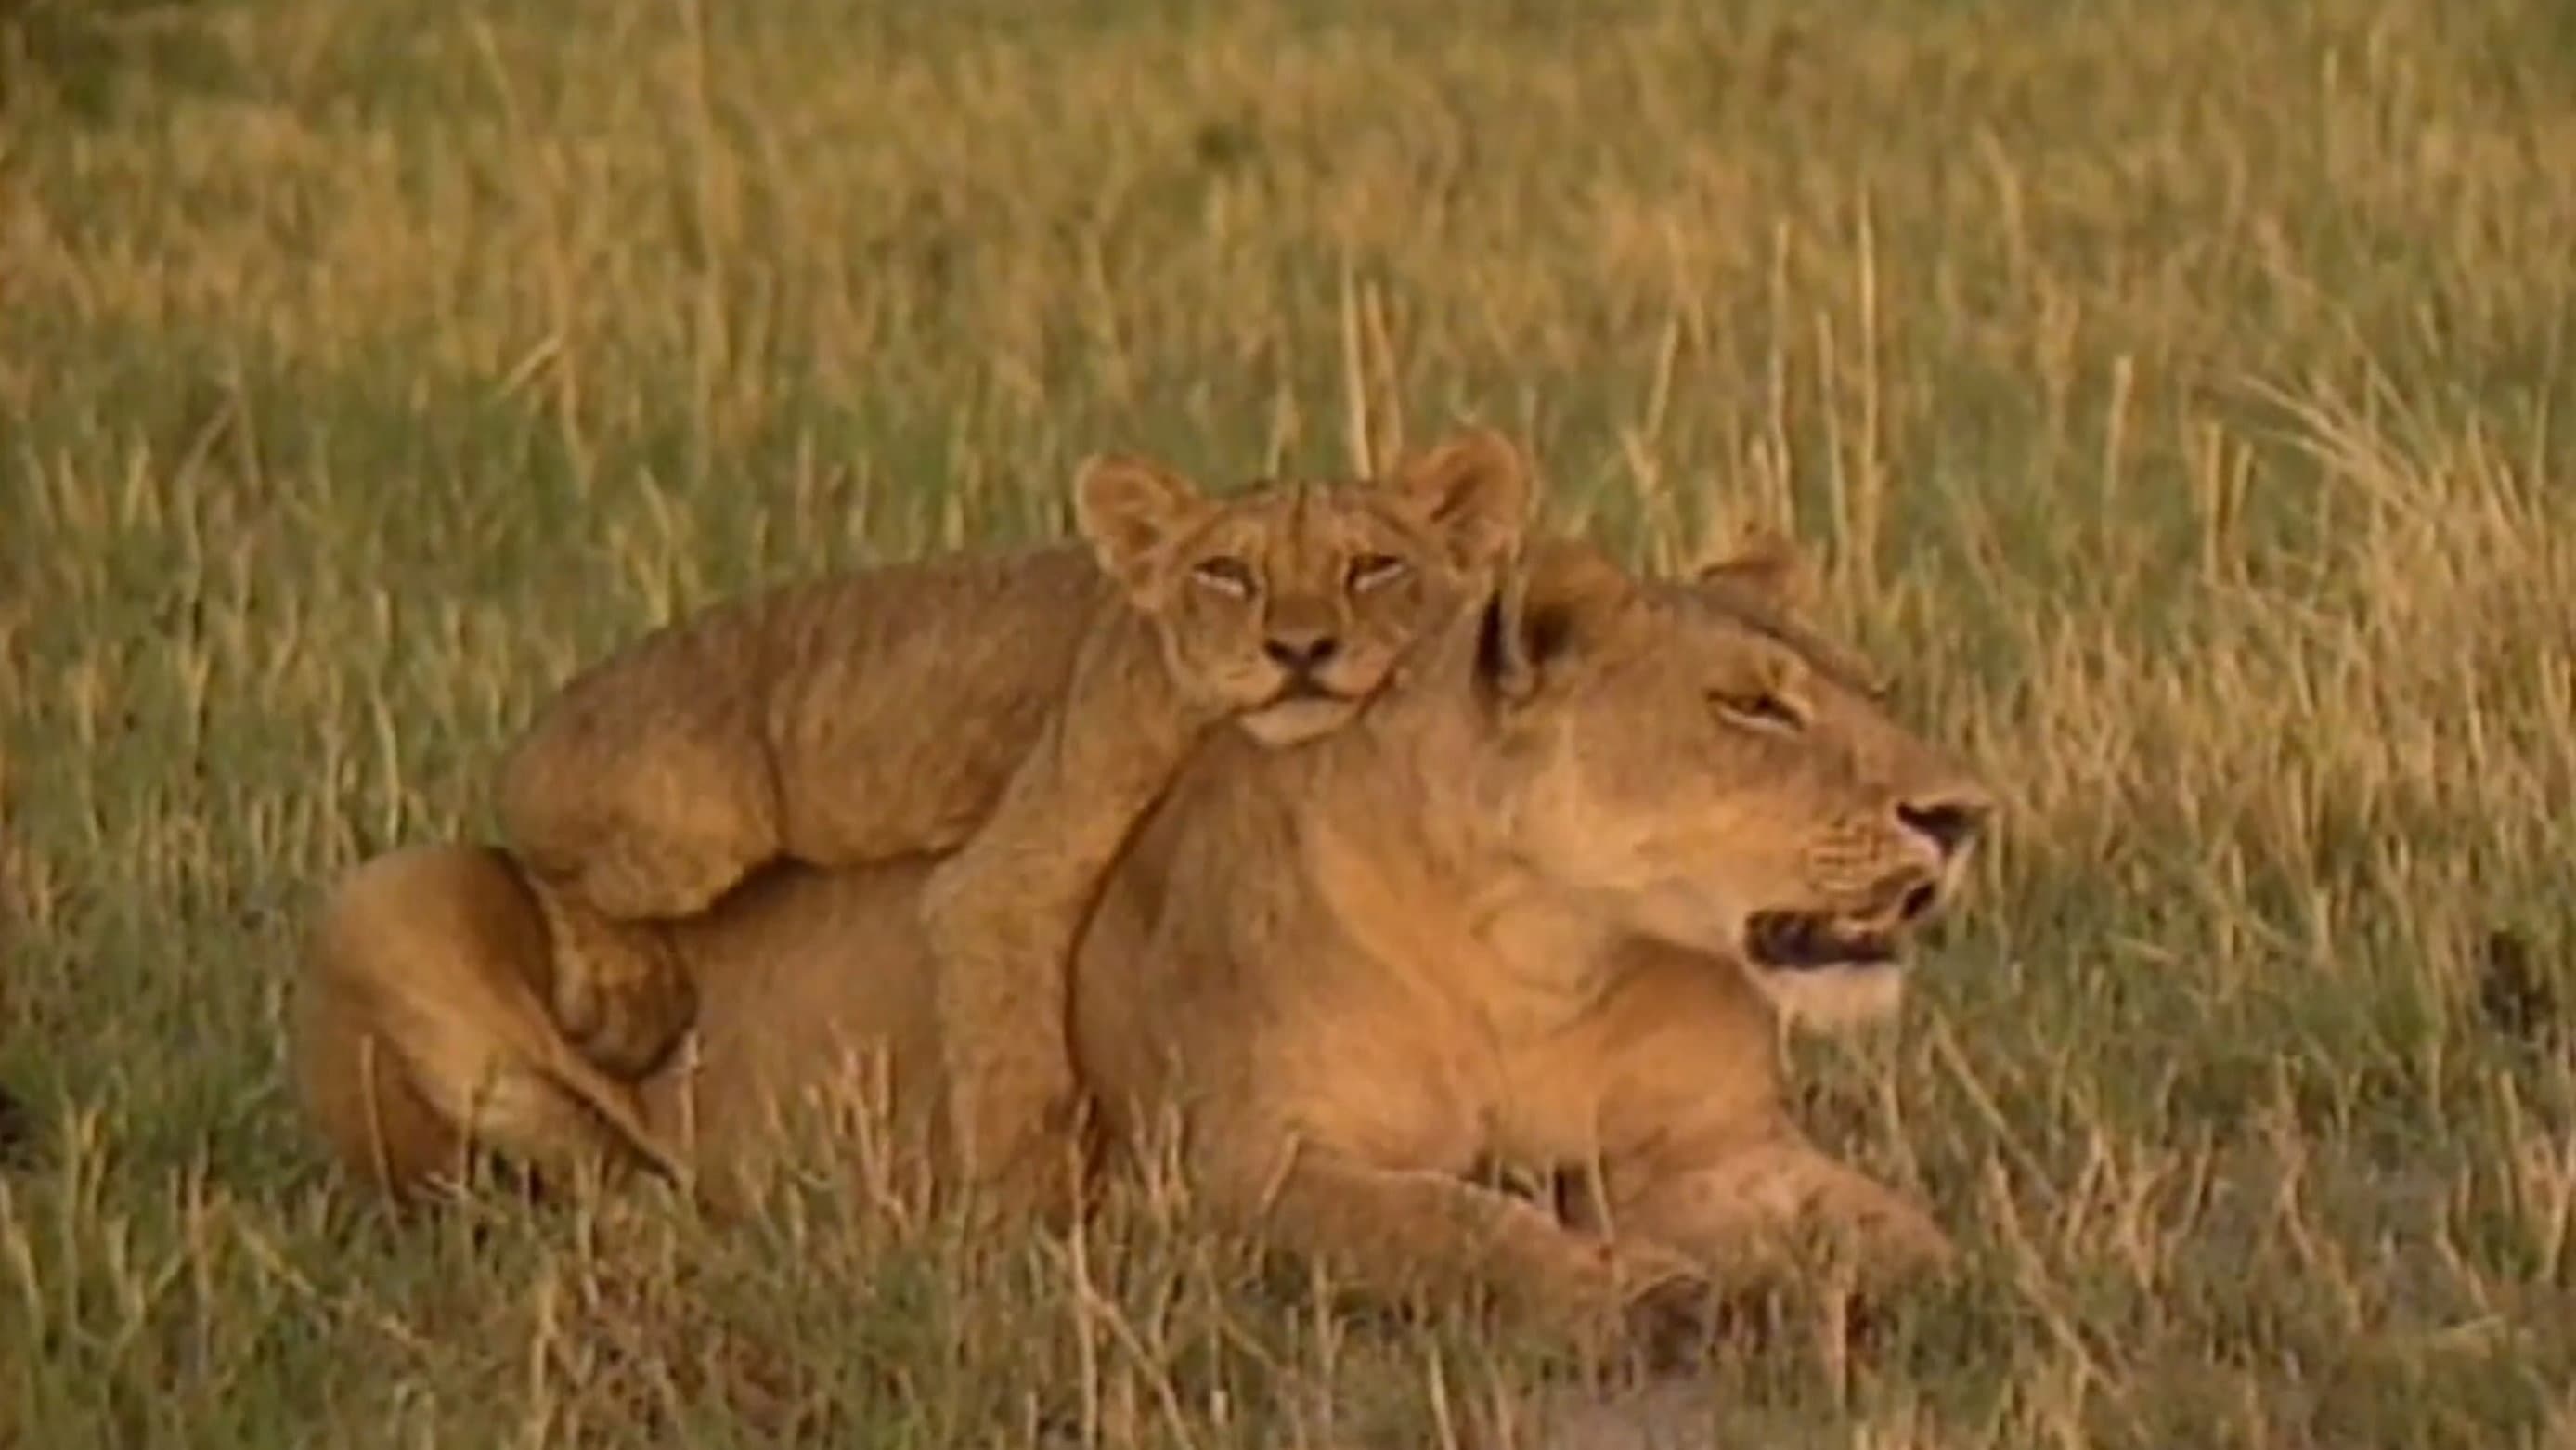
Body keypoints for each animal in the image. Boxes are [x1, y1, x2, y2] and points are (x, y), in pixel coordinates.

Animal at [291, 531, 1995, 1338]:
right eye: (1751, 709)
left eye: (1869, 690)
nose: (1962, 811)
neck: (1547, 953)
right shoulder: (1249, 1173)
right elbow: (1463, 1227)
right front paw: (1629, 1288)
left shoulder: (1713, 1149)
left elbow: (1902, 1230)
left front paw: (1929, 1288)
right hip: (398, 890)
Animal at [489, 431, 1532, 1211]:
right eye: (1227, 573)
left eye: (1374, 567)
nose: (1302, 648)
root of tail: (548, 713)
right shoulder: (1004, 868)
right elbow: (1009, 1050)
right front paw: (1028, 1220)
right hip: (687, 822)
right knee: (531, 849)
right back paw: (624, 991)